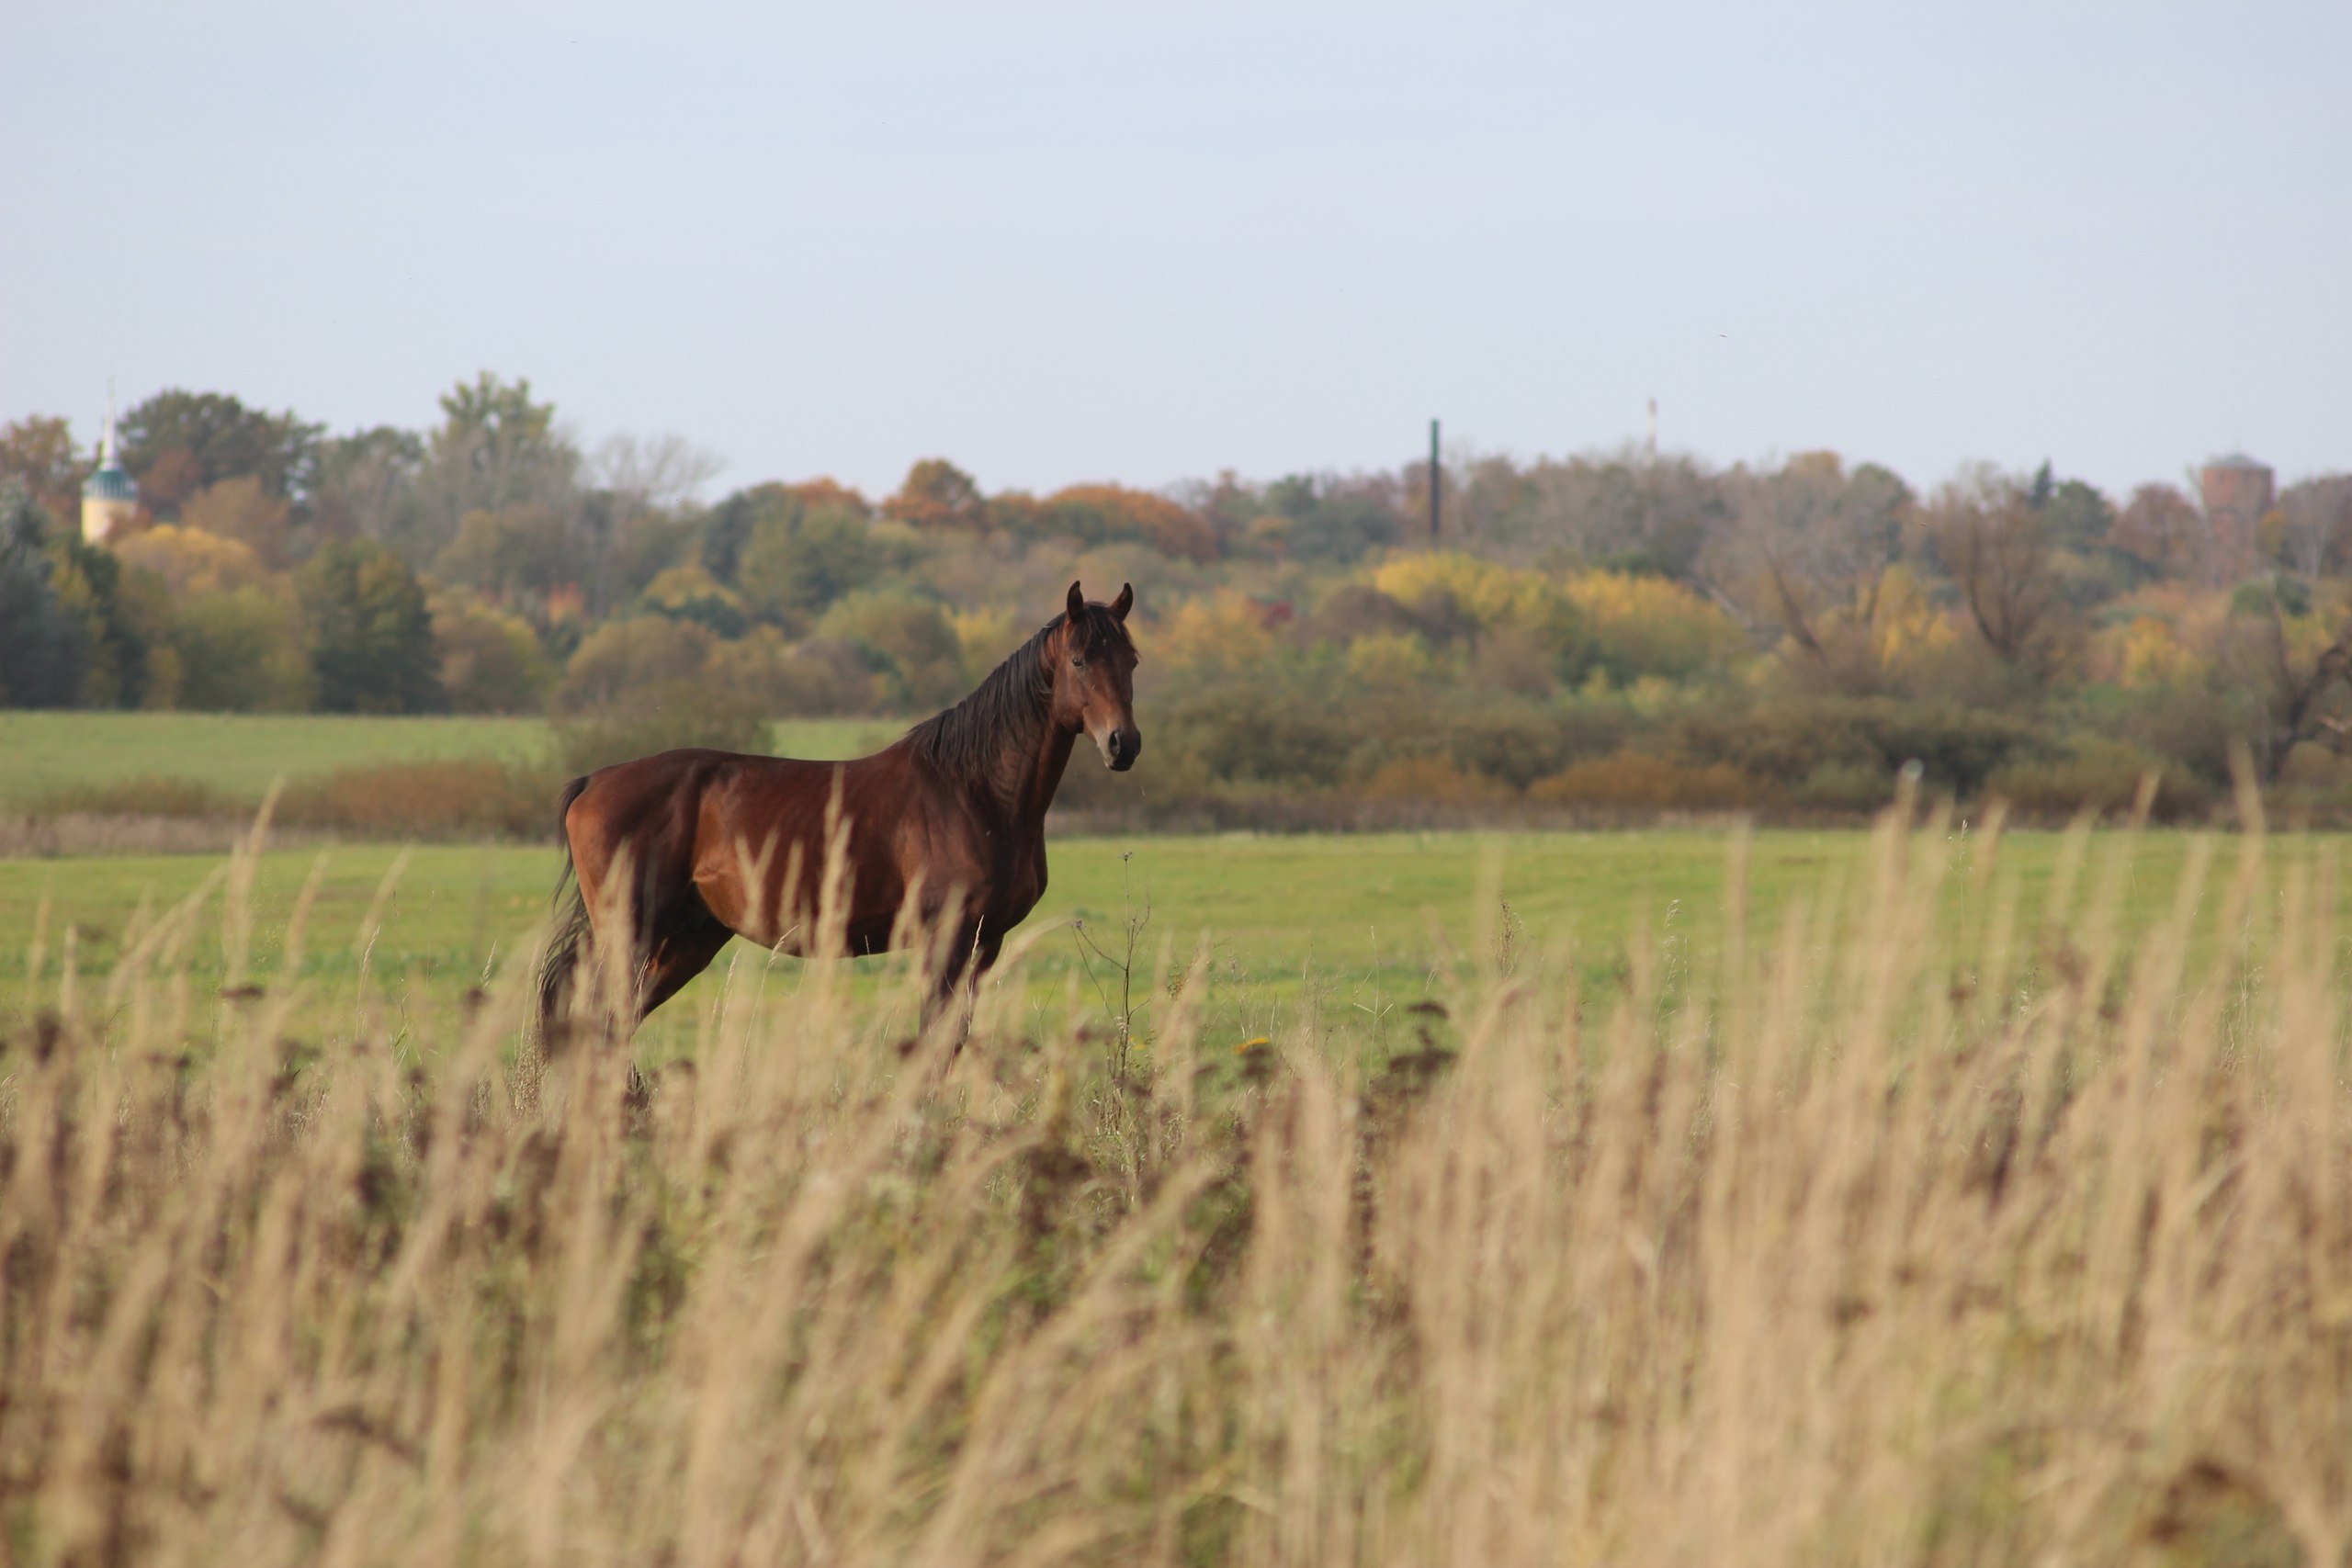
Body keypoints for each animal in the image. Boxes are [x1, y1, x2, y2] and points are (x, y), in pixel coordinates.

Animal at [543, 582, 1148, 1034]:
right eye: (1078, 660)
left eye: (1131, 661)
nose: (1123, 744)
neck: (974, 791)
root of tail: (594, 781)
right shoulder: (945, 941)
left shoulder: (985, 944)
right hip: (632, 933)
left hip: (688, 939)